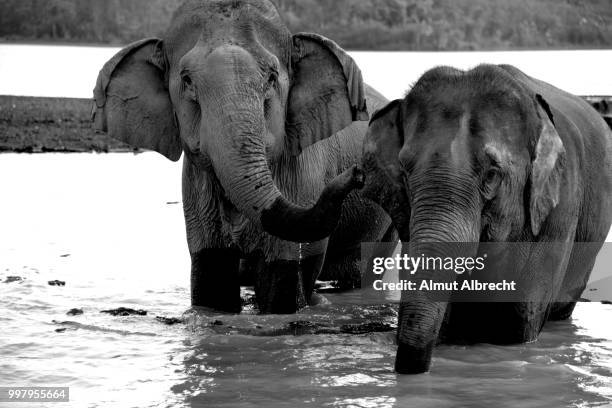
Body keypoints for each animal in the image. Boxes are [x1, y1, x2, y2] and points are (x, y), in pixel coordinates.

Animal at [93, 0, 394, 312]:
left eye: (272, 78)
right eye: (186, 81)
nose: (357, 173)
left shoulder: (304, 175)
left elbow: (281, 287)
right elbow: (212, 280)